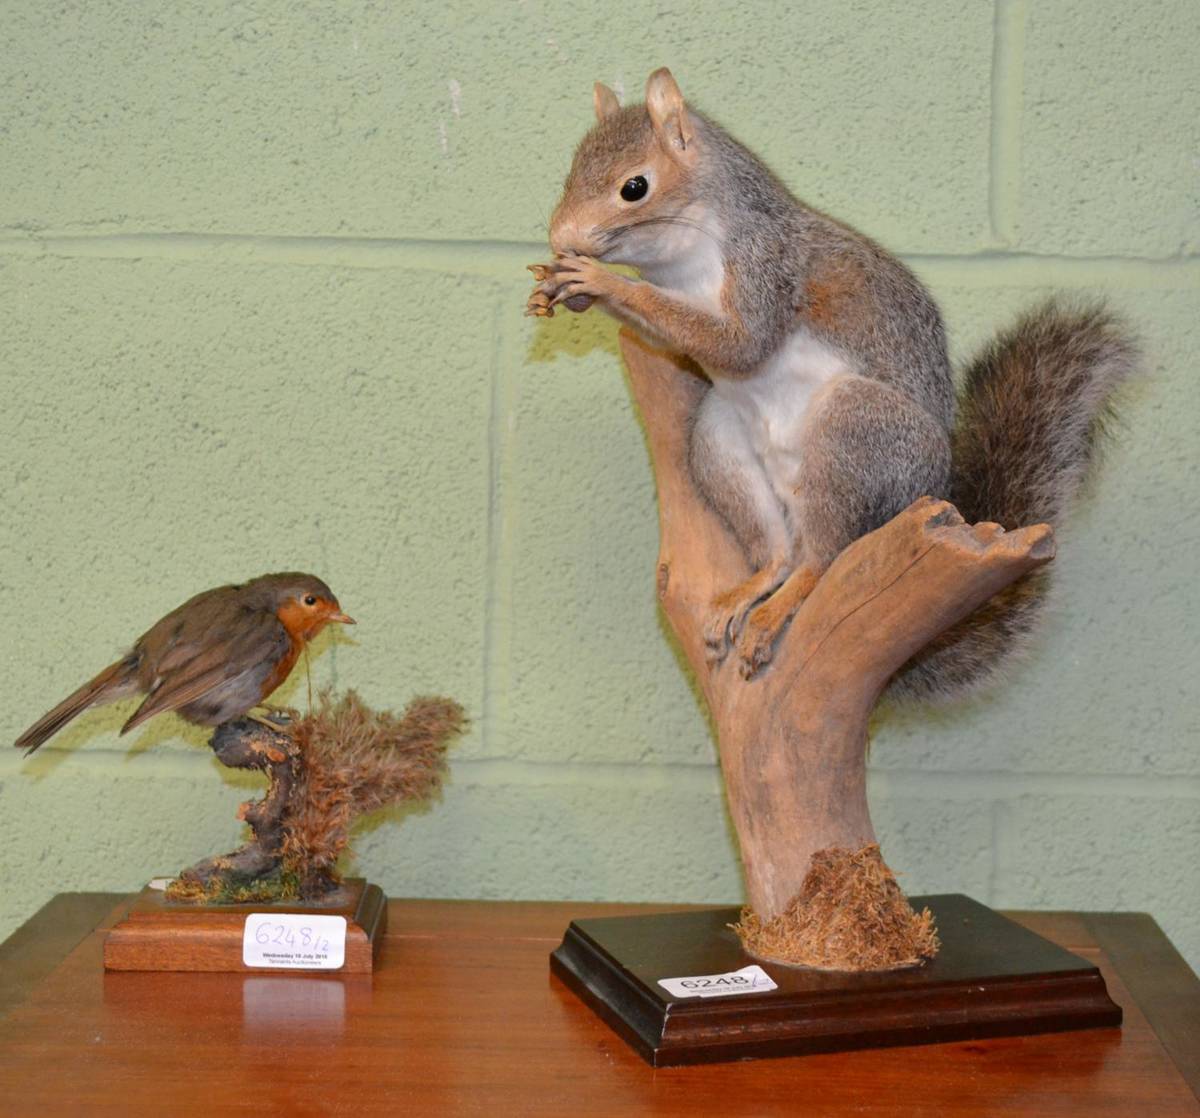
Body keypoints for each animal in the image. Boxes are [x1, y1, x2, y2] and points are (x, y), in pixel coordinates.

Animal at [527, 67, 1137, 696]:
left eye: (635, 187)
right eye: (572, 166)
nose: (561, 237)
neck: (684, 255)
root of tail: (925, 496)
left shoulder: (765, 269)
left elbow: (739, 344)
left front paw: (601, 283)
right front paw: (559, 288)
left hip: (857, 433)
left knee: (822, 559)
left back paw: (775, 611)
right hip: (719, 440)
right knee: (780, 555)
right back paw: (750, 594)